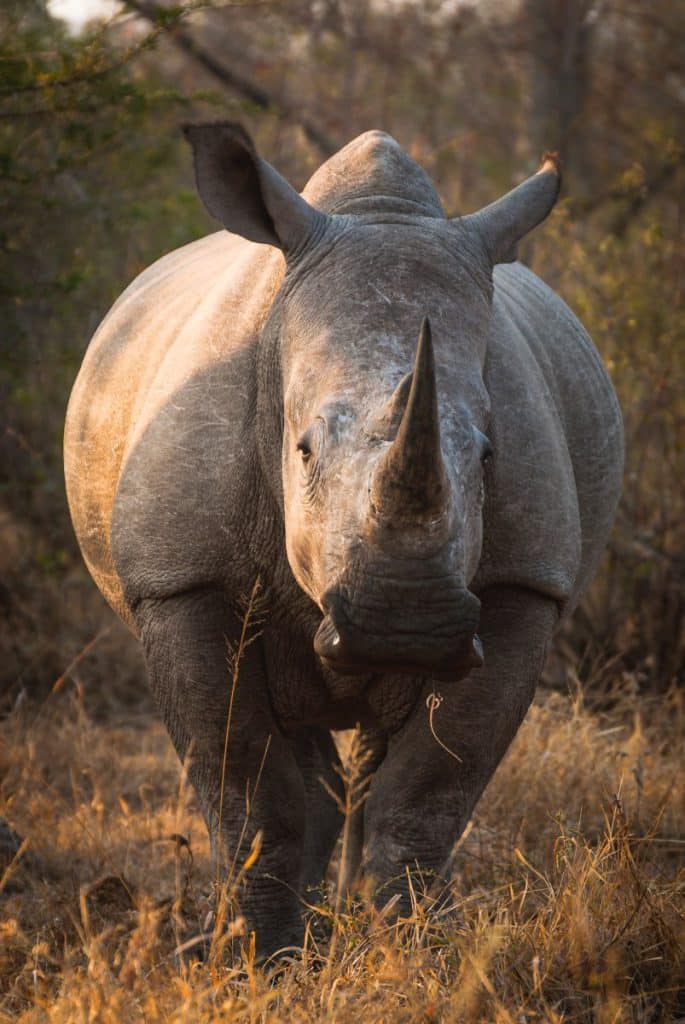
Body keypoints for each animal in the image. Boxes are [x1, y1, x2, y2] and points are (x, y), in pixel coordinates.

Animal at [64, 122, 623, 958]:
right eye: (300, 450)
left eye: (488, 455)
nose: (405, 624)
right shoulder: (179, 577)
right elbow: (247, 790)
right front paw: (258, 961)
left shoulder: (526, 581)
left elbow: (427, 794)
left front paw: (416, 952)